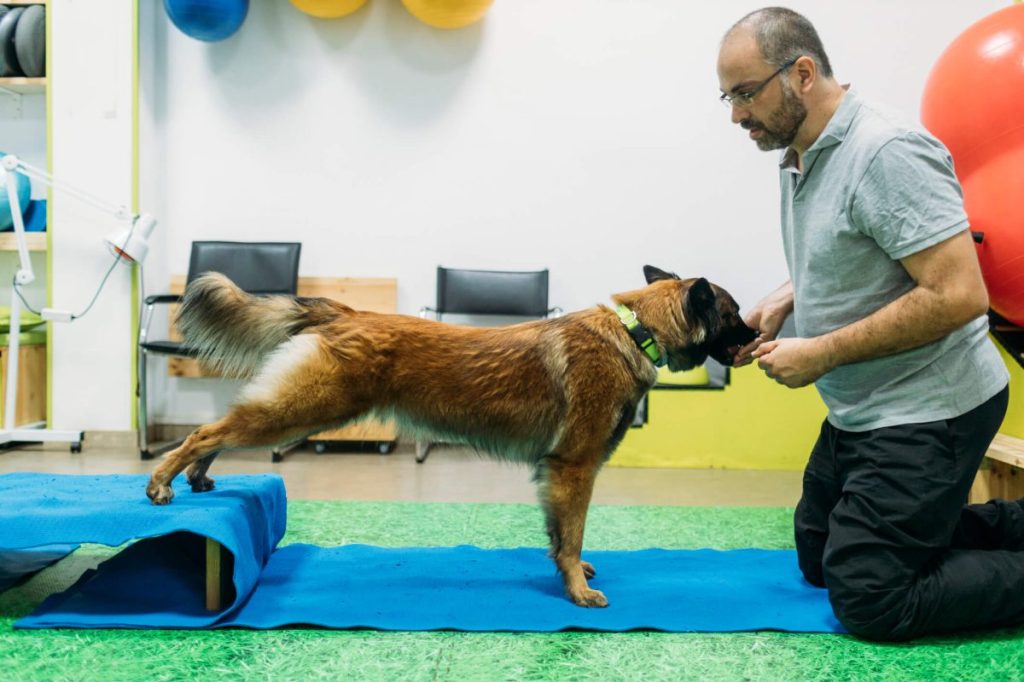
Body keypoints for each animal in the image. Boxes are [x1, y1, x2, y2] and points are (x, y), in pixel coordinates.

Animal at [148, 264, 761, 606]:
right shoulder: (575, 467)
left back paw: (197, 479)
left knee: (217, 432)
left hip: (298, 411)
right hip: (302, 411)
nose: (759, 333)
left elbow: (560, 535)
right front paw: (577, 591)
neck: (636, 332)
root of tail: (345, 311)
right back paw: (161, 482)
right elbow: (573, 534)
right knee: (205, 431)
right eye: (734, 313)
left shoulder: (559, 473)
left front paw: (570, 573)